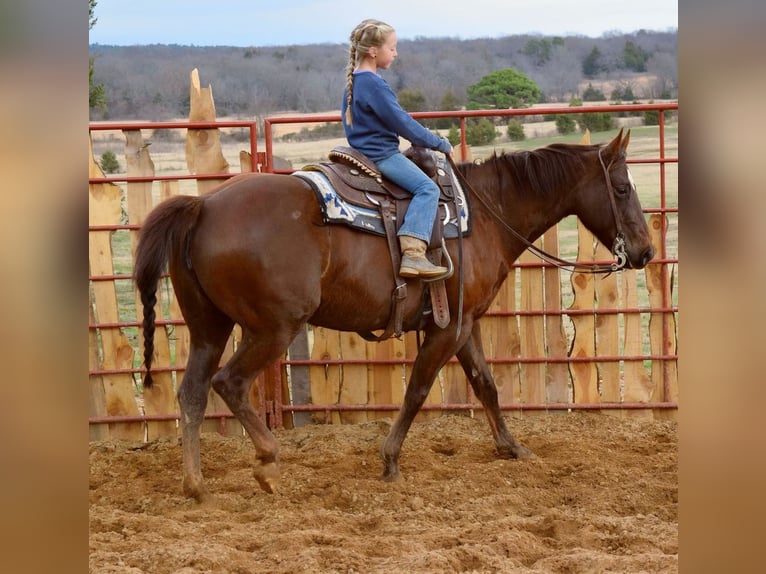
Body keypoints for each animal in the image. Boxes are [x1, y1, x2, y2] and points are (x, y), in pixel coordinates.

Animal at [134, 128, 653, 501]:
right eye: (621, 187)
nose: (646, 251)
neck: (485, 215)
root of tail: (202, 205)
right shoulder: (448, 329)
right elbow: (418, 389)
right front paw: (390, 461)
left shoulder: (464, 323)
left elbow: (485, 384)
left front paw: (511, 447)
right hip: (272, 328)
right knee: (230, 384)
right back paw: (267, 463)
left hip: (209, 327)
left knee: (192, 393)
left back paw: (196, 486)